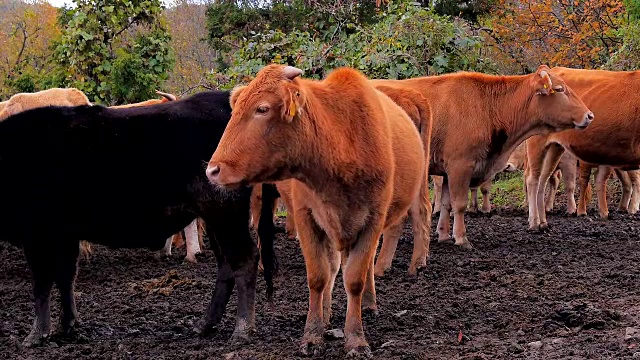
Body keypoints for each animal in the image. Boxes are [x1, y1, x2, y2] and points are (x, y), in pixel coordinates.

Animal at [0, 91, 278, 348]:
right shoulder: (64, 235)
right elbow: (66, 277)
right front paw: (67, 326)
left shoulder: (37, 234)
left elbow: (42, 283)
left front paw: (35, 335)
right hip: (215, 219)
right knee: (226, 265)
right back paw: (203, 325)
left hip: (224, 213)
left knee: (245, 259)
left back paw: (242, 330)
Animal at [205, 64, 428, 358]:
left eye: (262, 109)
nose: (213, 170)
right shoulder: (307, 218)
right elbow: (318, 277)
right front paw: (312, 334)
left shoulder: (372, 221)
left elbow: (354, 279)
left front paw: (355, 338)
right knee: (332, 268)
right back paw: (326, 313)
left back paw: (368, 304)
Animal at [370, 65, 596, 248]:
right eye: (560, 89)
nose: (589, 115)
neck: (487, 106)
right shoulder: (460, 166)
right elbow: (459, 204)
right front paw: (461, 238)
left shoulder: (447, 171)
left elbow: (446, 204)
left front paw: (443, 235)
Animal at [524, 67, 640, 231]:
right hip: (537, 144)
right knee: (533, 179)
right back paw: (534, 222)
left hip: (554, 148)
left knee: (543, 180)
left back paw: (543, 222)